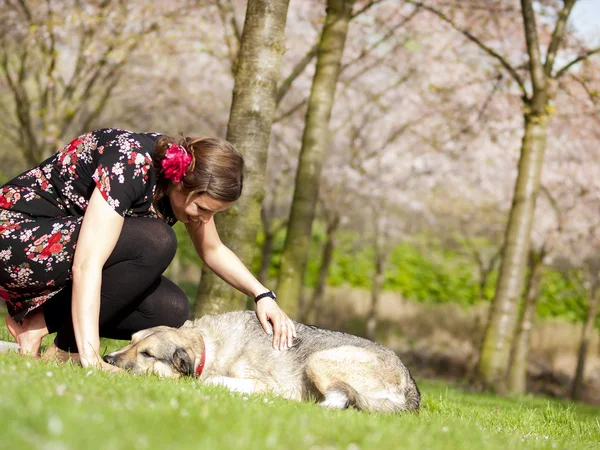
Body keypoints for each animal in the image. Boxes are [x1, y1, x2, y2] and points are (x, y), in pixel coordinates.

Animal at [104, 312, 422, 414]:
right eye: (131, 341)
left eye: (147, 355)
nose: (107, 359)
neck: (207, 346)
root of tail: (411, 386)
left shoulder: (260, 382)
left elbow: (210, 380)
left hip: (319, 361)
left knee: (337, 401)